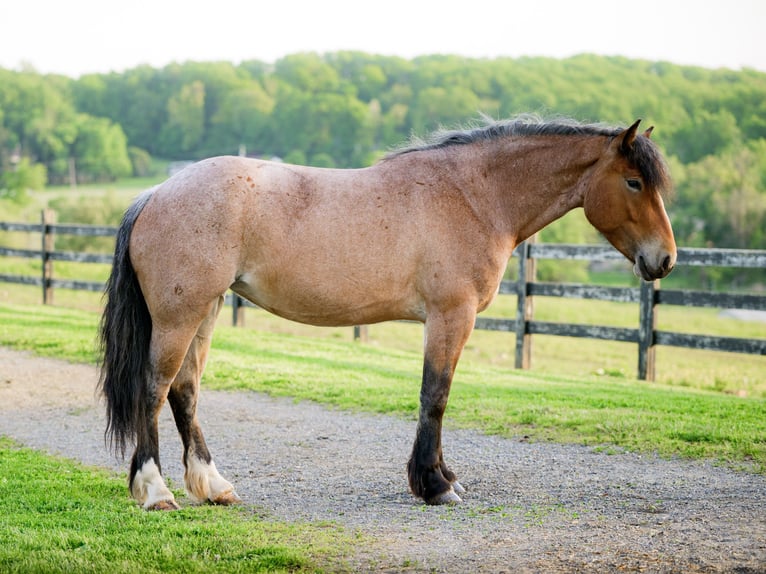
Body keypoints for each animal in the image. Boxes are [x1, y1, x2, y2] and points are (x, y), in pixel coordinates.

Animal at [99, 116, 676, 510]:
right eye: (633, 182)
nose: (665, 259)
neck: (473, 196)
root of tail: (155, 193)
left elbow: (435, 397)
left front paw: (443, 477)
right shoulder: (450, 317)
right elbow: (435, 397)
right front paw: (435, 485)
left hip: (207, 310)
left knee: (184, 391)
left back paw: (213, 486)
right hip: (181, 316)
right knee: (154, 390)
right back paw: (155, 491)